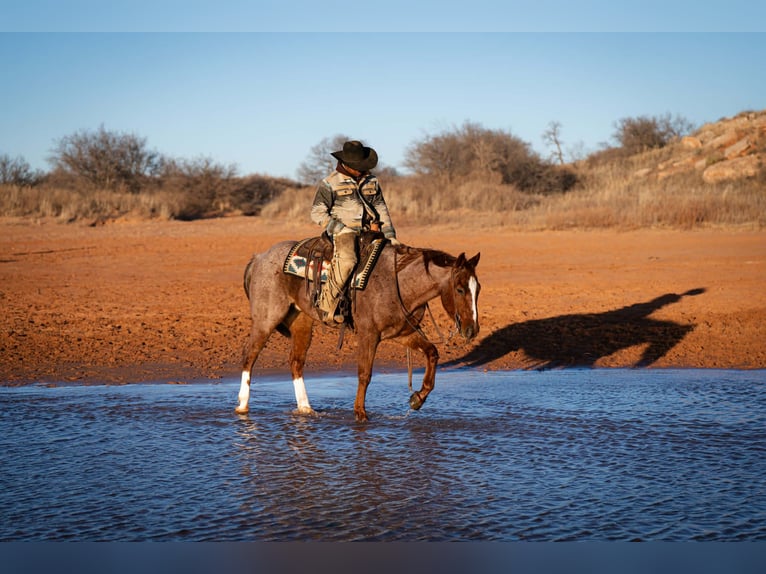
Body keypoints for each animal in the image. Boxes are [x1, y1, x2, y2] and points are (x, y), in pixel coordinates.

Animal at [237, 234, 481, 422]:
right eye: (459, 289)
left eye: (477, 288)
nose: (472, 330)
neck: (398, 283)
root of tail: (259, 258)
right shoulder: (368, 334)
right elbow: (365, 374)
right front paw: (360, 413)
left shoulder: (403, 333)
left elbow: (433, 353)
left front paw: (417, 400)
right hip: (266, 319)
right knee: (250, 355)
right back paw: (242, 406)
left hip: (301, 323)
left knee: (296, 362)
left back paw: (306, 409)